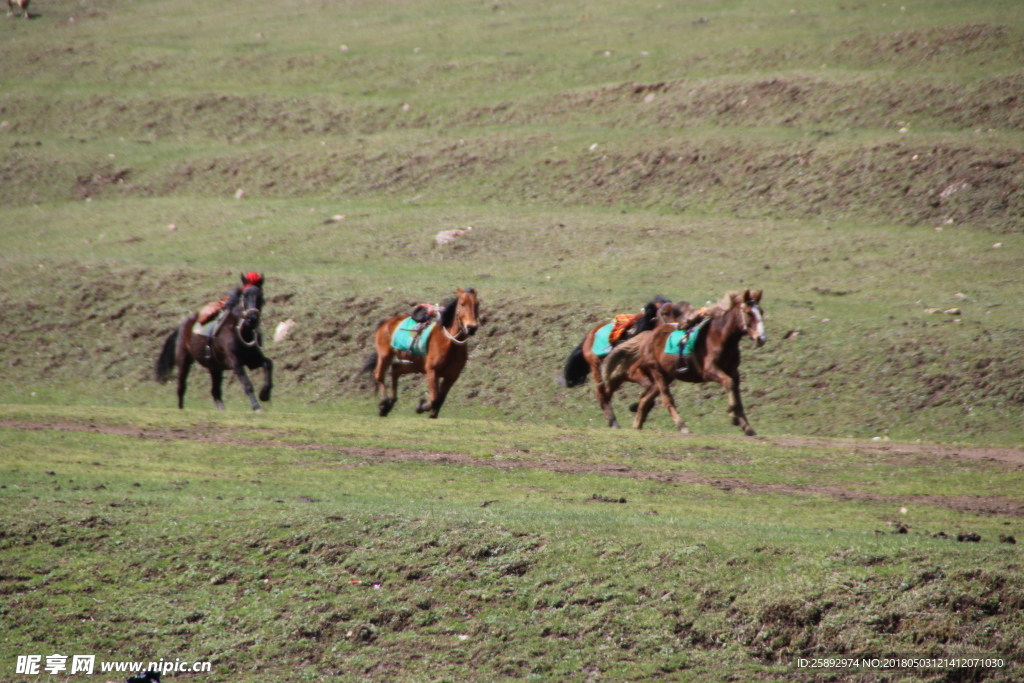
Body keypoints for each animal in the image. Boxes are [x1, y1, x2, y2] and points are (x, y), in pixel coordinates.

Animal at [152, 272, 272, 411]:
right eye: (244, 295)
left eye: (260, 295)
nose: (252, 318)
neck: (241, 330)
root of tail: (183, 325)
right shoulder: (236, 362)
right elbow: (247, 384)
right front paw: (256, 406)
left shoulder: (252, 360)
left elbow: (268, 364)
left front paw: (264, 394)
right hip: (184, 360)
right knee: (181, 387)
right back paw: (180, 408)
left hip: (215, 367)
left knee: (215, 392)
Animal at [362, 286, 481, 417]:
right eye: (462, 303)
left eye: (477, 304)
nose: (472, 327)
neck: (448, 343)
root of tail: (387, 321)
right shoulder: (432, 372)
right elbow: (434, 399)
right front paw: (421, 406)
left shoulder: (452, 376)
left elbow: (439, 400)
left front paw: (430, 412)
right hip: (385, 355)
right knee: (379, 375)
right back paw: (384, 404)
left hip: (415, 364)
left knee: (396, 369)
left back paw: (391, 401)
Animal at [561, 296, 671, 428]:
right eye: (664, 313)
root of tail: (591, 333)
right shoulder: (633, 373)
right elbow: (649, 388)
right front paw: (635, 407)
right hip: (598, 369)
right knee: (601, 395)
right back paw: (613, 422)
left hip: (615, 377)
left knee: (607, 393)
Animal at [602, 290, 765, 436]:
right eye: (749, 313)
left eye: (761, 312)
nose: (761, 338)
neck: (719, 337)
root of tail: (648, 336)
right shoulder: (709, 371)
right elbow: (728, 383)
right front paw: (733, 416)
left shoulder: (733, 372)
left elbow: (737, 394)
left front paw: (746, 426)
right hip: (657, 372)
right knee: (667, 400)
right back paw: (682, 426)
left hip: (666, 375)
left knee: (644, 399)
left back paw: (637, 426)